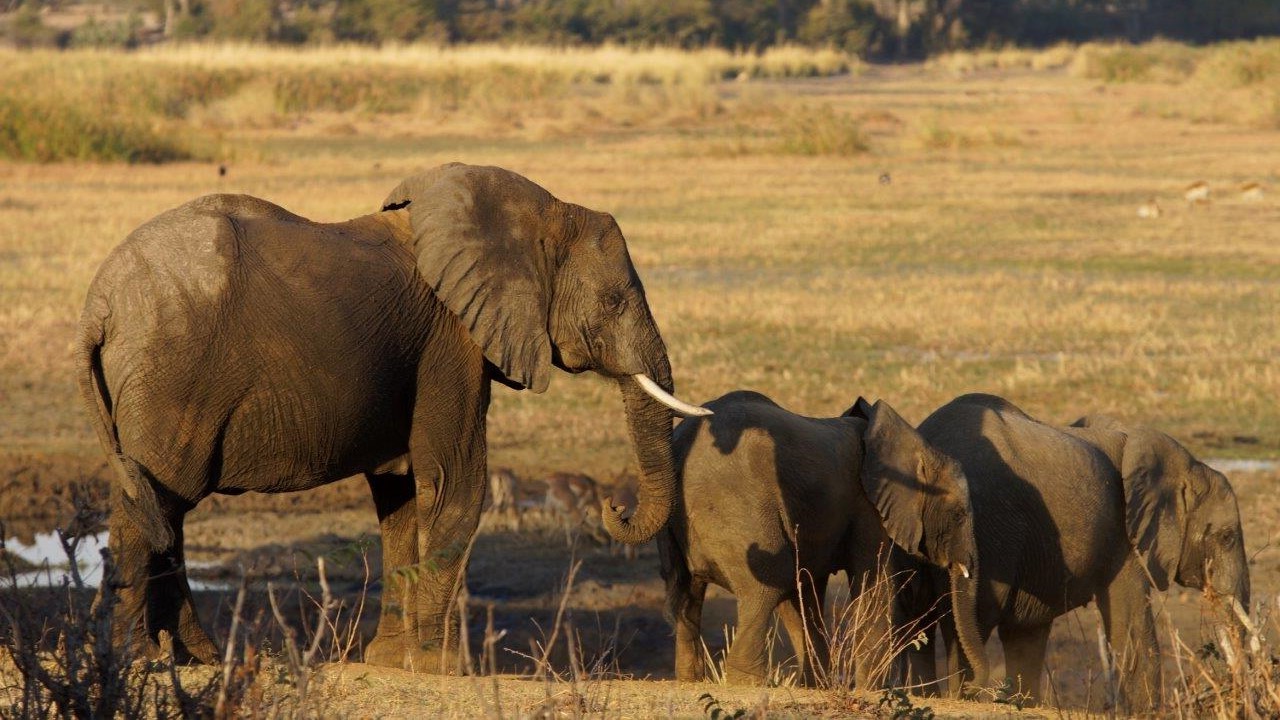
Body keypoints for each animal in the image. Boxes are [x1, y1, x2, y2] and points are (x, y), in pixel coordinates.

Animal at [77, 161, 711, 666]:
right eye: (614, 302)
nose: (615, 506)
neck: (539, 211)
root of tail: (99, 302)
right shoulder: (449, 341)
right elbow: (455, 480)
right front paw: (440, 667)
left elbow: (399, 493)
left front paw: (388, 659)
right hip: (172, 377)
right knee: (153, 507)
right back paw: (137, 660)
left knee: (161, 509)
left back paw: (195, 658)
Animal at [655, 389, 983, 686]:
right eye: (958, 515)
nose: (975, 684)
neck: (913, 444)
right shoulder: (866, 506)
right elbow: (871, 580)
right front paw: (871, 689)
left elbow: (807, 589)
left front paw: (818, 685)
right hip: (737, 506)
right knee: (768, 584)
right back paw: (748, 682)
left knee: (689, 591)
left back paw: (691, 679)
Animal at [911, 392, 1249, 707]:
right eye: (1227, 537)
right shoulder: (1122, 533)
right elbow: (1132, 626)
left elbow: (1026, 631)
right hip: (992, 529)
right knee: (973, 619)